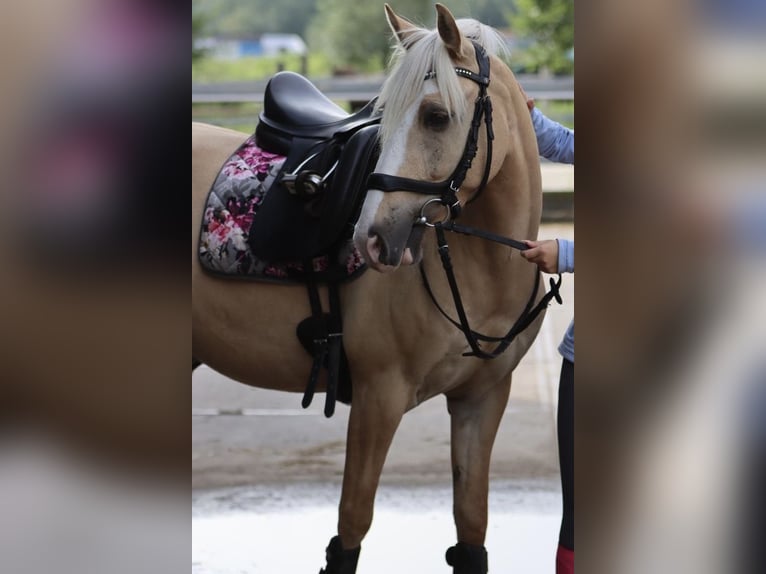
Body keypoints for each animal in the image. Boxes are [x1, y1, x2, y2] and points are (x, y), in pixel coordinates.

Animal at [195, 3, 548, 572]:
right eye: (384, 116)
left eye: (436, 116)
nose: (372, 237)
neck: (481, 272)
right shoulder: (378, 399)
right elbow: (351, 526)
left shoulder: (482, 399)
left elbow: (471, 527)